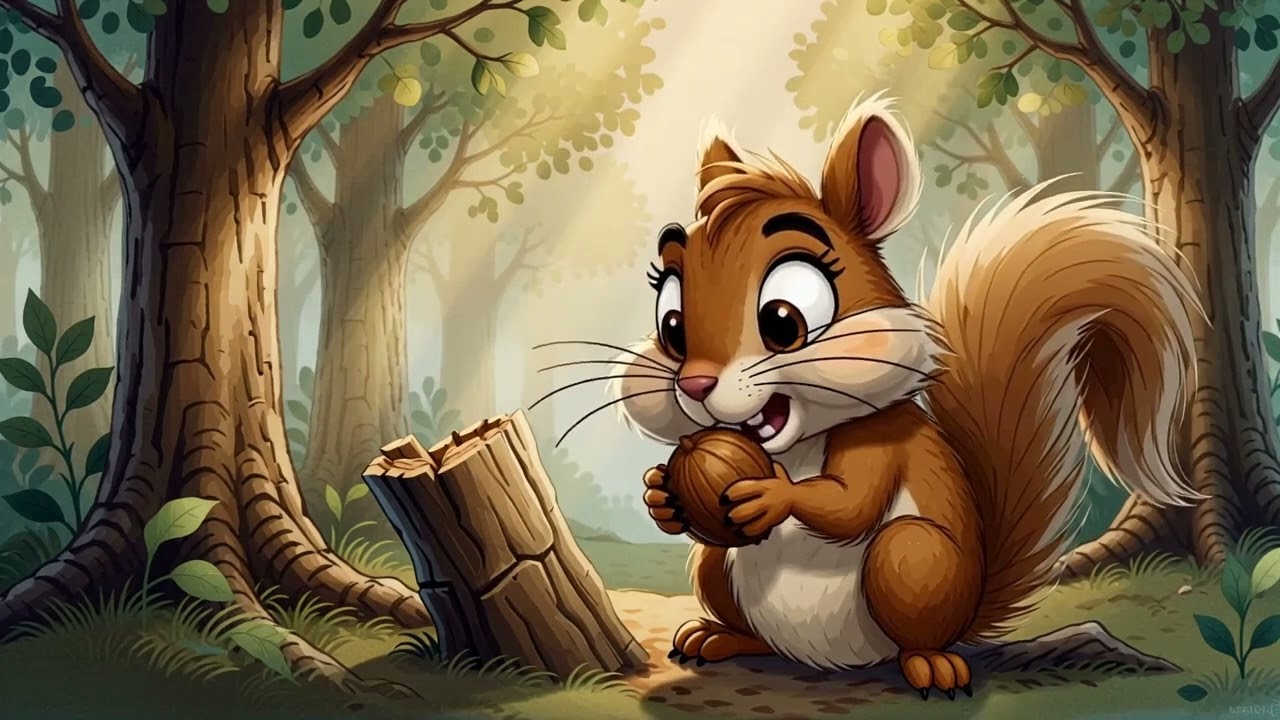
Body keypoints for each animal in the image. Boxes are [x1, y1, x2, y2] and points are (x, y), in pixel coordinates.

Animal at [609, 93, 1201, 699]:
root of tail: (826, 660)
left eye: (783, 319)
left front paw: (772, 494)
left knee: (912, 615)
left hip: (913, 559)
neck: (796, 444)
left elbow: (849, 505)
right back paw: (718, 637)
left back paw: (931, 664)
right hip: (717, 565)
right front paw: (660, 495)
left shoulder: (881, 438)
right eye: (672, 323)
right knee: (738, 605)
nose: (695, 384)